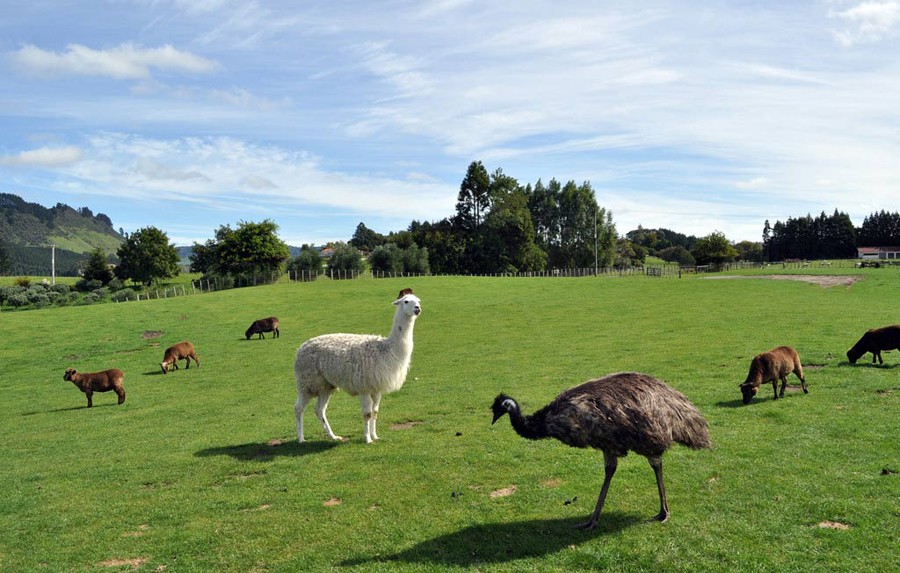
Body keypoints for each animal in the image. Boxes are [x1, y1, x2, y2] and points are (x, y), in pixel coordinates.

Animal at [294, 290, 424, 442]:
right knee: (298, 408)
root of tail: (301, 348)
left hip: (325, 385)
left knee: (319, 409)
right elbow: (367, 414)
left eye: (418, 301)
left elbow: (375, 412)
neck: (385, 349)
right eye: (406, 301)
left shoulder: (377, 388)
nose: (417, 309)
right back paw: (301, 438)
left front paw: (375, 436)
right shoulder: (364, 386)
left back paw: (334, 436)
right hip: (307, 382)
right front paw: (367, 439)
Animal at [492, 370, 712, 528]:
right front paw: (591, 520)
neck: (551, 418)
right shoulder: (607, 445)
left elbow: (612, 470)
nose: (493, 420)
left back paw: (664, 512)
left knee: (656, 463)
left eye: (498, 408)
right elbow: (610, 470)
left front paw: (592, 521)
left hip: (650, 437)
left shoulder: (613, 442)